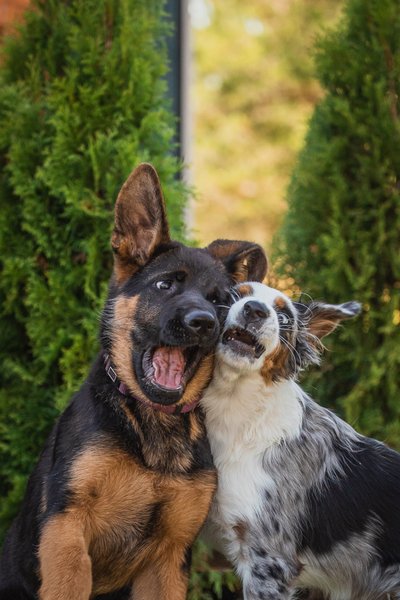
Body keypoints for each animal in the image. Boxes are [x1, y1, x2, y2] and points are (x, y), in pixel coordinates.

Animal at [0, 164, 268, 600]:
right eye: (165, 285)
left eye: (219, 301)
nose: (203, 323)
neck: (151, 422)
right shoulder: (66, 533)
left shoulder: (170, 557)